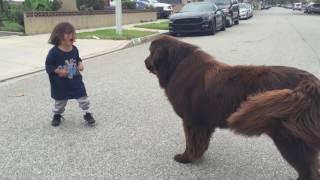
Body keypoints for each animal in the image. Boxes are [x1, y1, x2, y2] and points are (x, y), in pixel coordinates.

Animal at [145, 35, 320, 180]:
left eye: (149, 53)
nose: (144, 62)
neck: (176, 65)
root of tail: (310, 84)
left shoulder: (191, 121)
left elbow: (191, 142)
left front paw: (185, 158)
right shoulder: (204, 122)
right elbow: (201, 142)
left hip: (291, 140)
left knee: (308, 172)